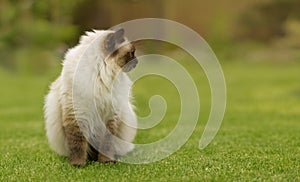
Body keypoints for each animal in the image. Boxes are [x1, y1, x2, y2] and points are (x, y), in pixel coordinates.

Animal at [44, 28, 138, 166]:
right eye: (131, 53)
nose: (137, 62)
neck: (101, 76)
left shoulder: (110, 117)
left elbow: (107, 144)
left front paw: (106, 161)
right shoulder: (77, 115)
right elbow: (77, 144)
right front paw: (78, 164)